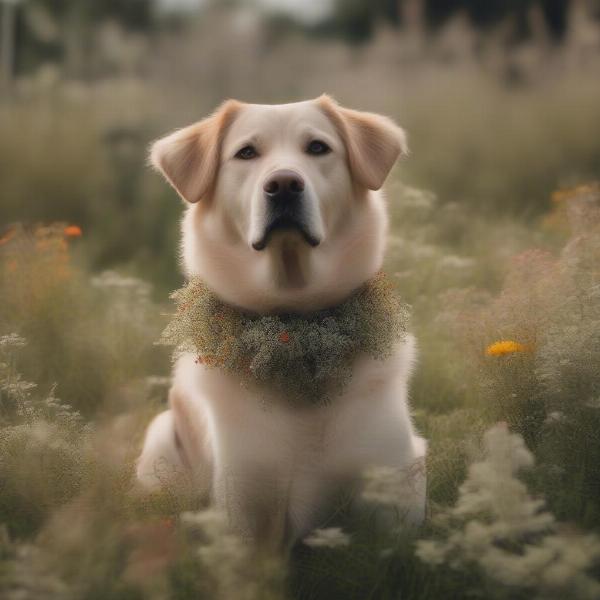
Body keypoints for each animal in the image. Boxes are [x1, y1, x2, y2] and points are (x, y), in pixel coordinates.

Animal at [136, 95, 426, 548]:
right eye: (246, 153)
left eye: (318, 148)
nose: (285, 184)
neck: (296, 326)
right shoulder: (246, 498)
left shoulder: (393, 486)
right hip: (161, 439)